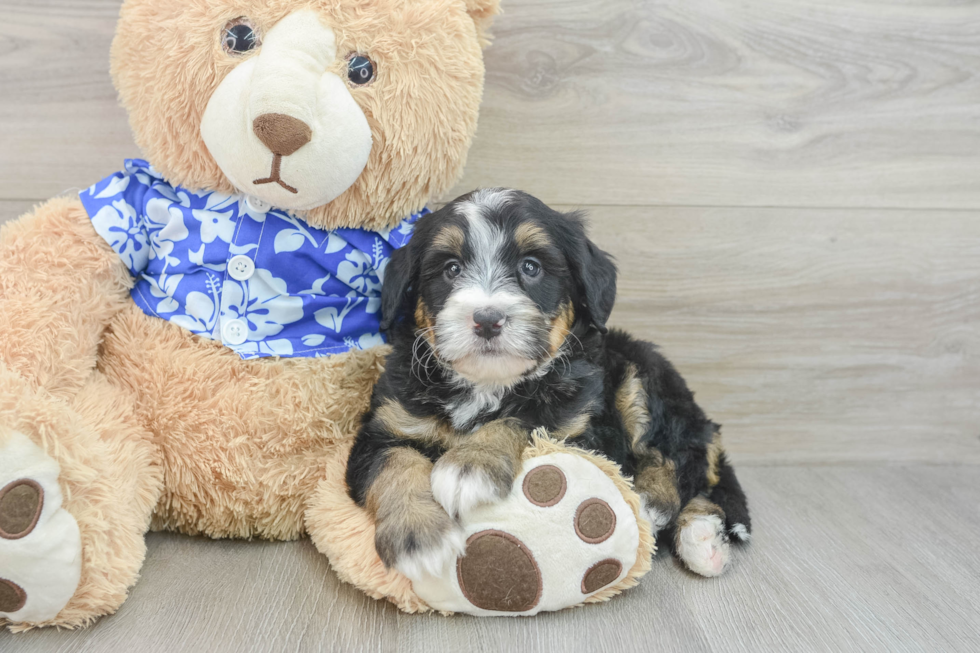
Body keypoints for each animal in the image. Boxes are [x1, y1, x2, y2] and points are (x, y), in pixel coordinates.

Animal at [344, 187, 752, 576]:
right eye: (451, 268)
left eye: (531, 266)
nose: (487, 319)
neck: (489, 386)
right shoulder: (384, 426)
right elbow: (395, 463)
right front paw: (418, 537)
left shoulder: (586, 431)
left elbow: (526, 418)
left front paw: (471, 464)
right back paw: (703, 539)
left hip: (642, 373)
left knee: (679, 457)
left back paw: (661, 510)